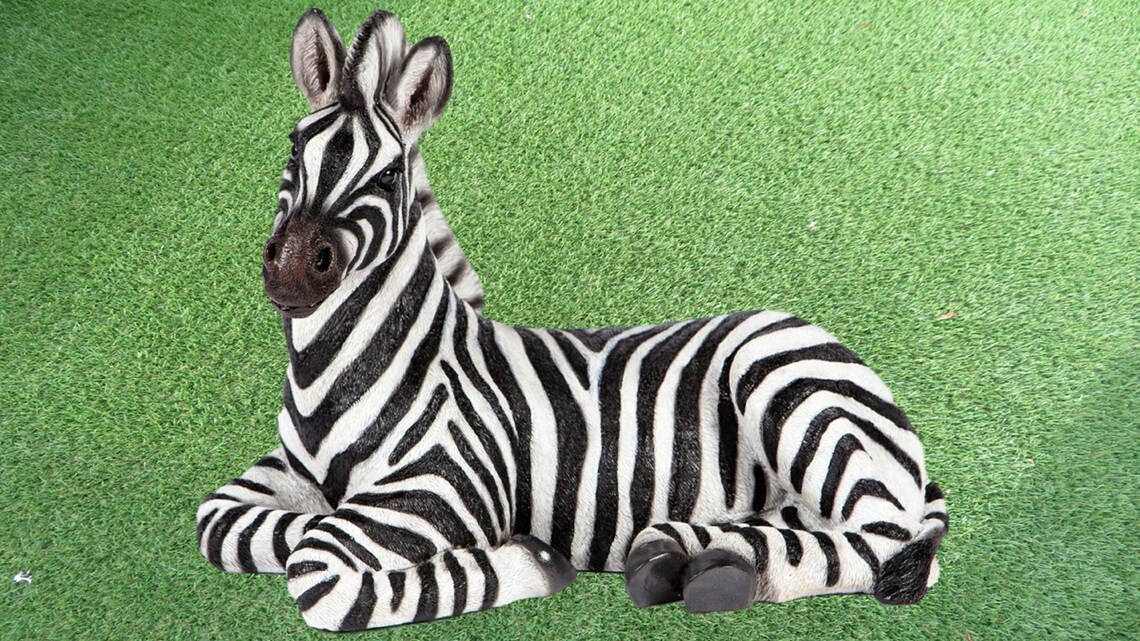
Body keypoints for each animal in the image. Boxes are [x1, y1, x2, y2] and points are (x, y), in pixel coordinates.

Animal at [196, 10, 948, 631]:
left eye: (385, 179)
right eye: (292, 151)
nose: (293, 272)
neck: (337, 365)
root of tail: (838, 350)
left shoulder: (450, 485)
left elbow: (316, 568)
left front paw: (524, 558)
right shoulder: (287, 470)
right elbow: (227, 522)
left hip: (791, 395)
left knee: (884, 537)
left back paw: (722, 574)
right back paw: (680, 551)